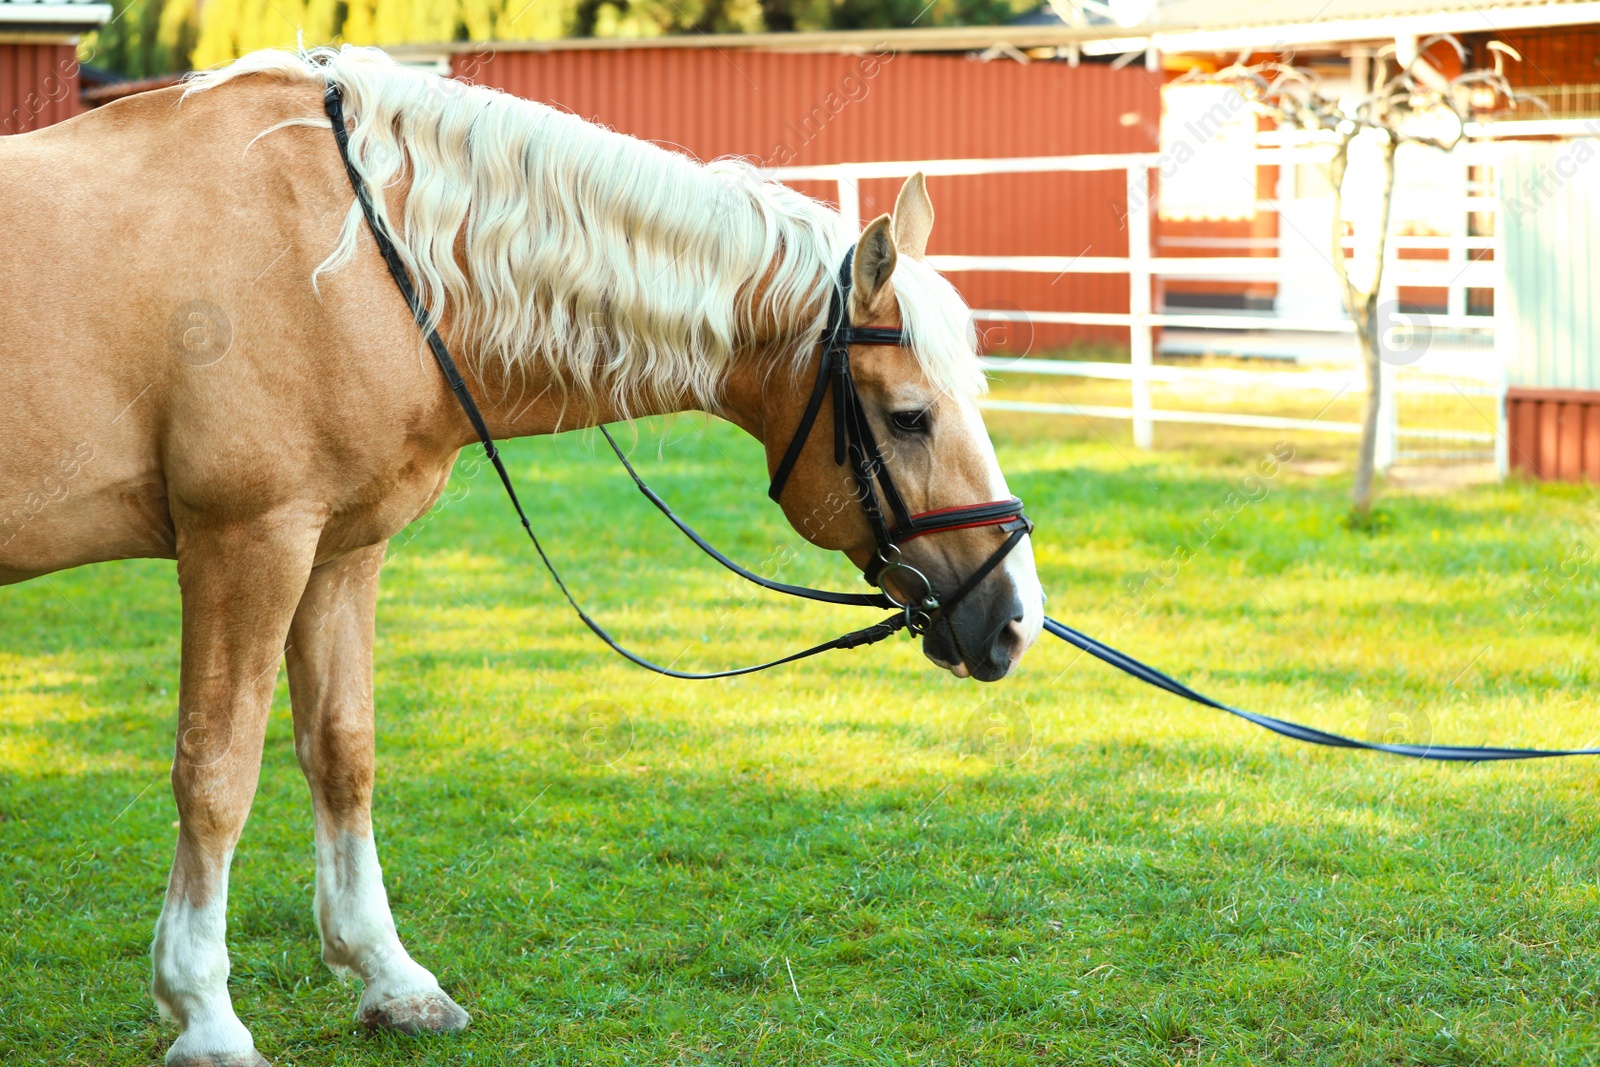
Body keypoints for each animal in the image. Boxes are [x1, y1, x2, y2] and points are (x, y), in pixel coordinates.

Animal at [0, 45, 1043, 1062]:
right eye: (909, 418)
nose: (1016, 620)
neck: (348, 255)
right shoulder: (247, 541)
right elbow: (216, 772)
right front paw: (206, 1014)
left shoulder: (341, 551)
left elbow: (343, 752)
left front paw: (391, 978)